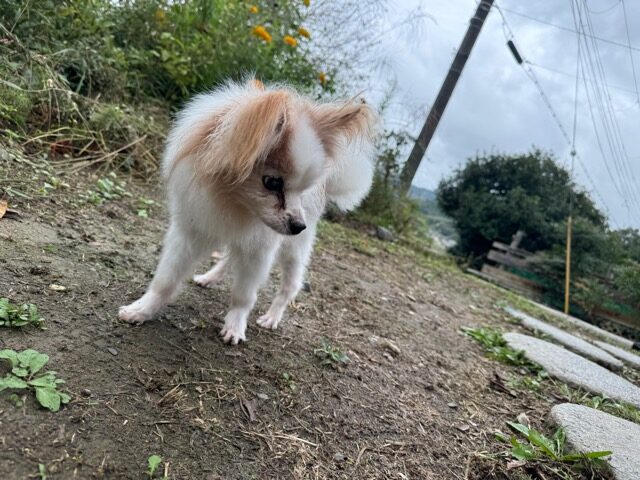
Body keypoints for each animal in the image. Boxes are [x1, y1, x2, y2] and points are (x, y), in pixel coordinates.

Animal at [118, 79, 379, 344]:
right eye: (272, 183)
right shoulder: (191, 231)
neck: (235, 205)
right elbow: (165, 280)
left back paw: (272, 317)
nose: (299, 226)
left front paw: (235, 326)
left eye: (303, 190)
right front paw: (142, 309)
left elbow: (244, 294)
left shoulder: (259, 250)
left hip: (294, 252)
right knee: (229, 258)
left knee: (289, 286)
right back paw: (209, 277)